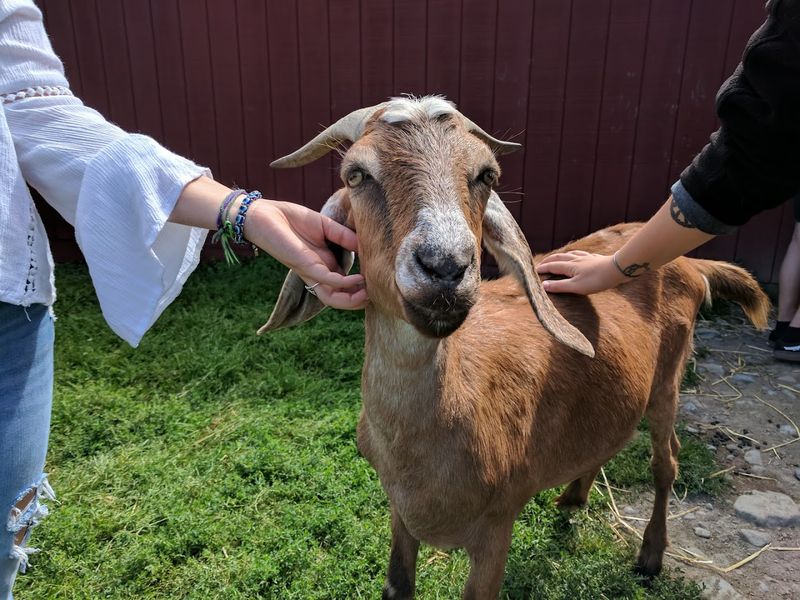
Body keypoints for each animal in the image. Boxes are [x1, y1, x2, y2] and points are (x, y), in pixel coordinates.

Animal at [258, 96, 769, 599]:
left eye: (487, 175)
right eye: (356, 174)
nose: (445, 266)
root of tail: (690, 262)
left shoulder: (496, 526)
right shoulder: (400, 516)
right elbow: (398, 585)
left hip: (670, 378)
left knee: (666, 461)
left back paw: (650, 556)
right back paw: (573, 498)